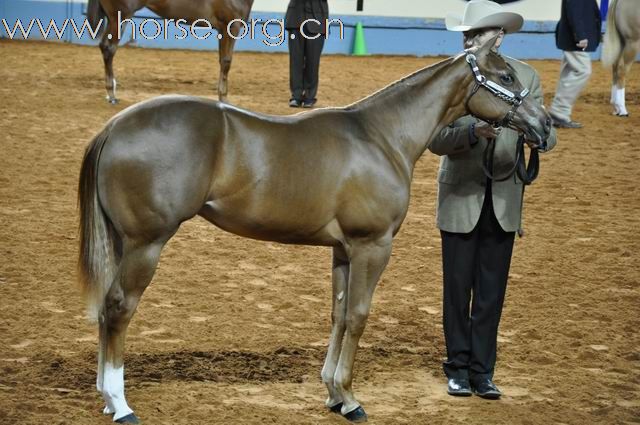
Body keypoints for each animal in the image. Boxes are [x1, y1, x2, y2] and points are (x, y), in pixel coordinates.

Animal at [79, 38, 552, 422]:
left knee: (105, 309)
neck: (382, 137)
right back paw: (121, 404)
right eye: (506, 76)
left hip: (124, 243)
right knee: (119, 308)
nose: (545, 125)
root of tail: (115, 127)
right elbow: (359, 316)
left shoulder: (343, 250)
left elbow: (338, 316)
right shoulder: (372, 246)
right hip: (147, 244)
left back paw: (107, 399)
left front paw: (333, 395)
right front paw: (351, 399)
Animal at [85, 0, 255, 103]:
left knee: (104, 46)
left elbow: (222, 61)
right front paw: (224, 99)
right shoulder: (230, 28)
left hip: (113, 18)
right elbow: (226, 62)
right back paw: (112, 95)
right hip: (119, 18)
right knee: (109, 49)